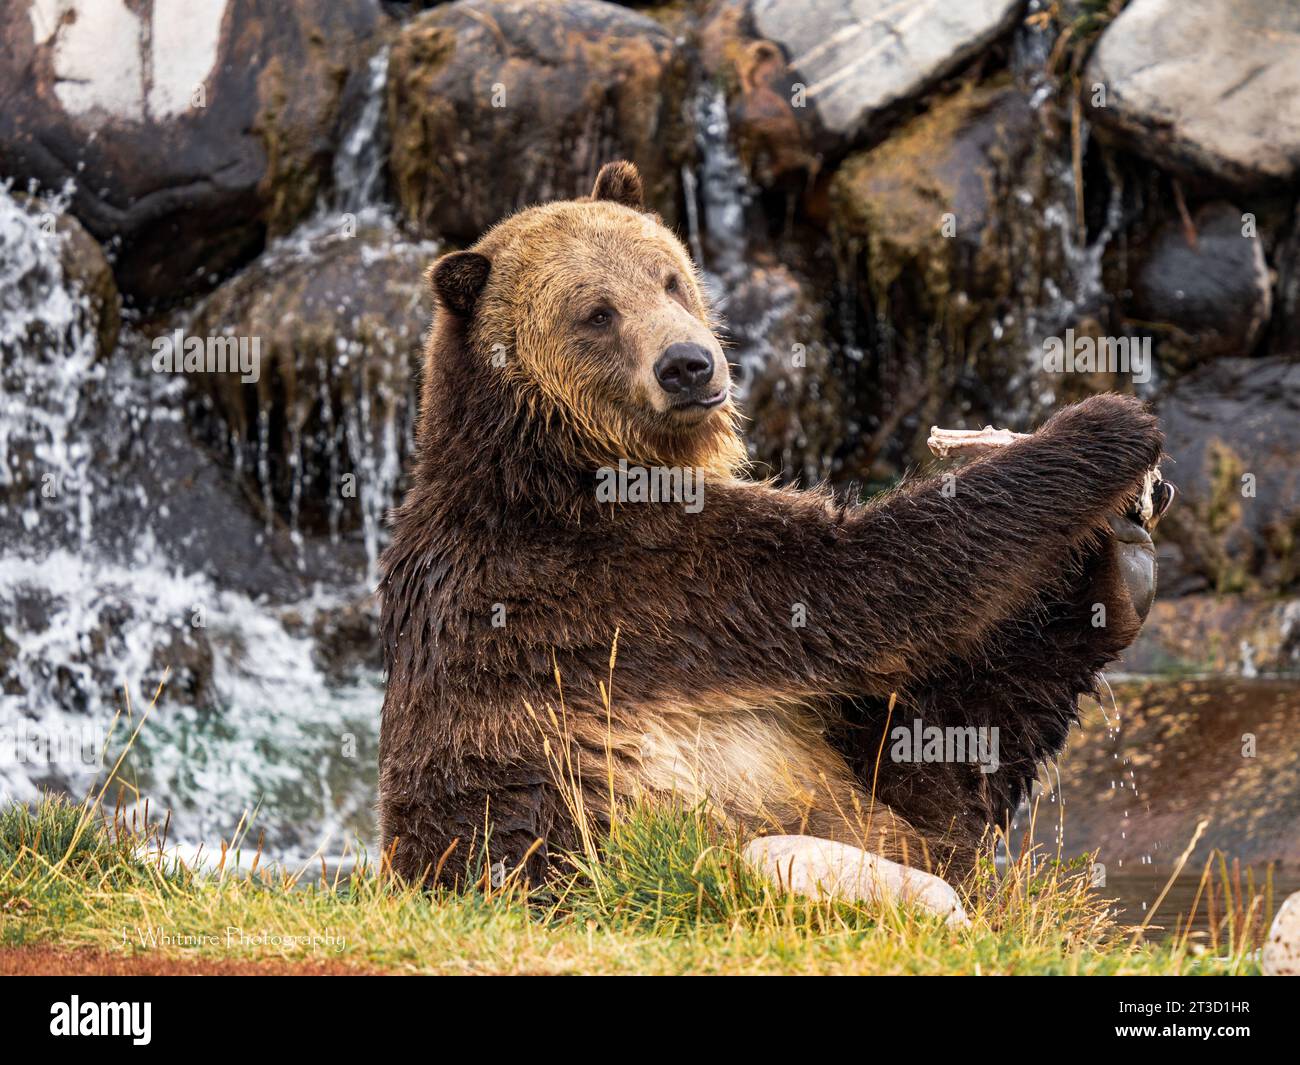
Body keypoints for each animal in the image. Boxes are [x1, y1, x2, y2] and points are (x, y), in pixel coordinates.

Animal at [379, 162, 1170, 920]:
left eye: (668, 277)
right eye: (597, 312)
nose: (688, 364)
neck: (564, 452)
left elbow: (927, 756)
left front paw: (1110, 546)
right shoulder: (616, 576)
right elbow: (861, 580)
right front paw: (1105, 425)